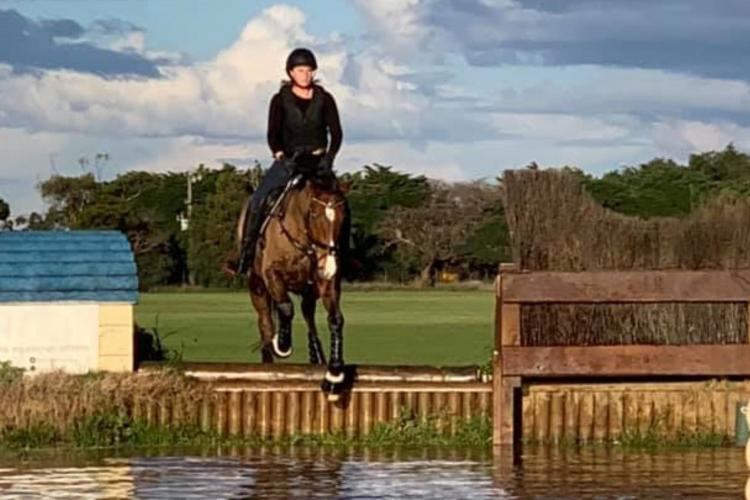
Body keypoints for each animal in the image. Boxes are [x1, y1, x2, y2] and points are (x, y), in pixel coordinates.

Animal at [236, 168, 352, 402]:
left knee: (308, 315)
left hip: (308, 291)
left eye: (343, 216)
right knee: (265, 321)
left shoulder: (327, 284)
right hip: (257, 287)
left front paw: (334, 375)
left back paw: (316, 355)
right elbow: (285, 308)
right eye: (314, 214)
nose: (329, 265)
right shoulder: (272, 275)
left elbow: (335, 319)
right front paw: (281, 343)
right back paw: (269, 356)